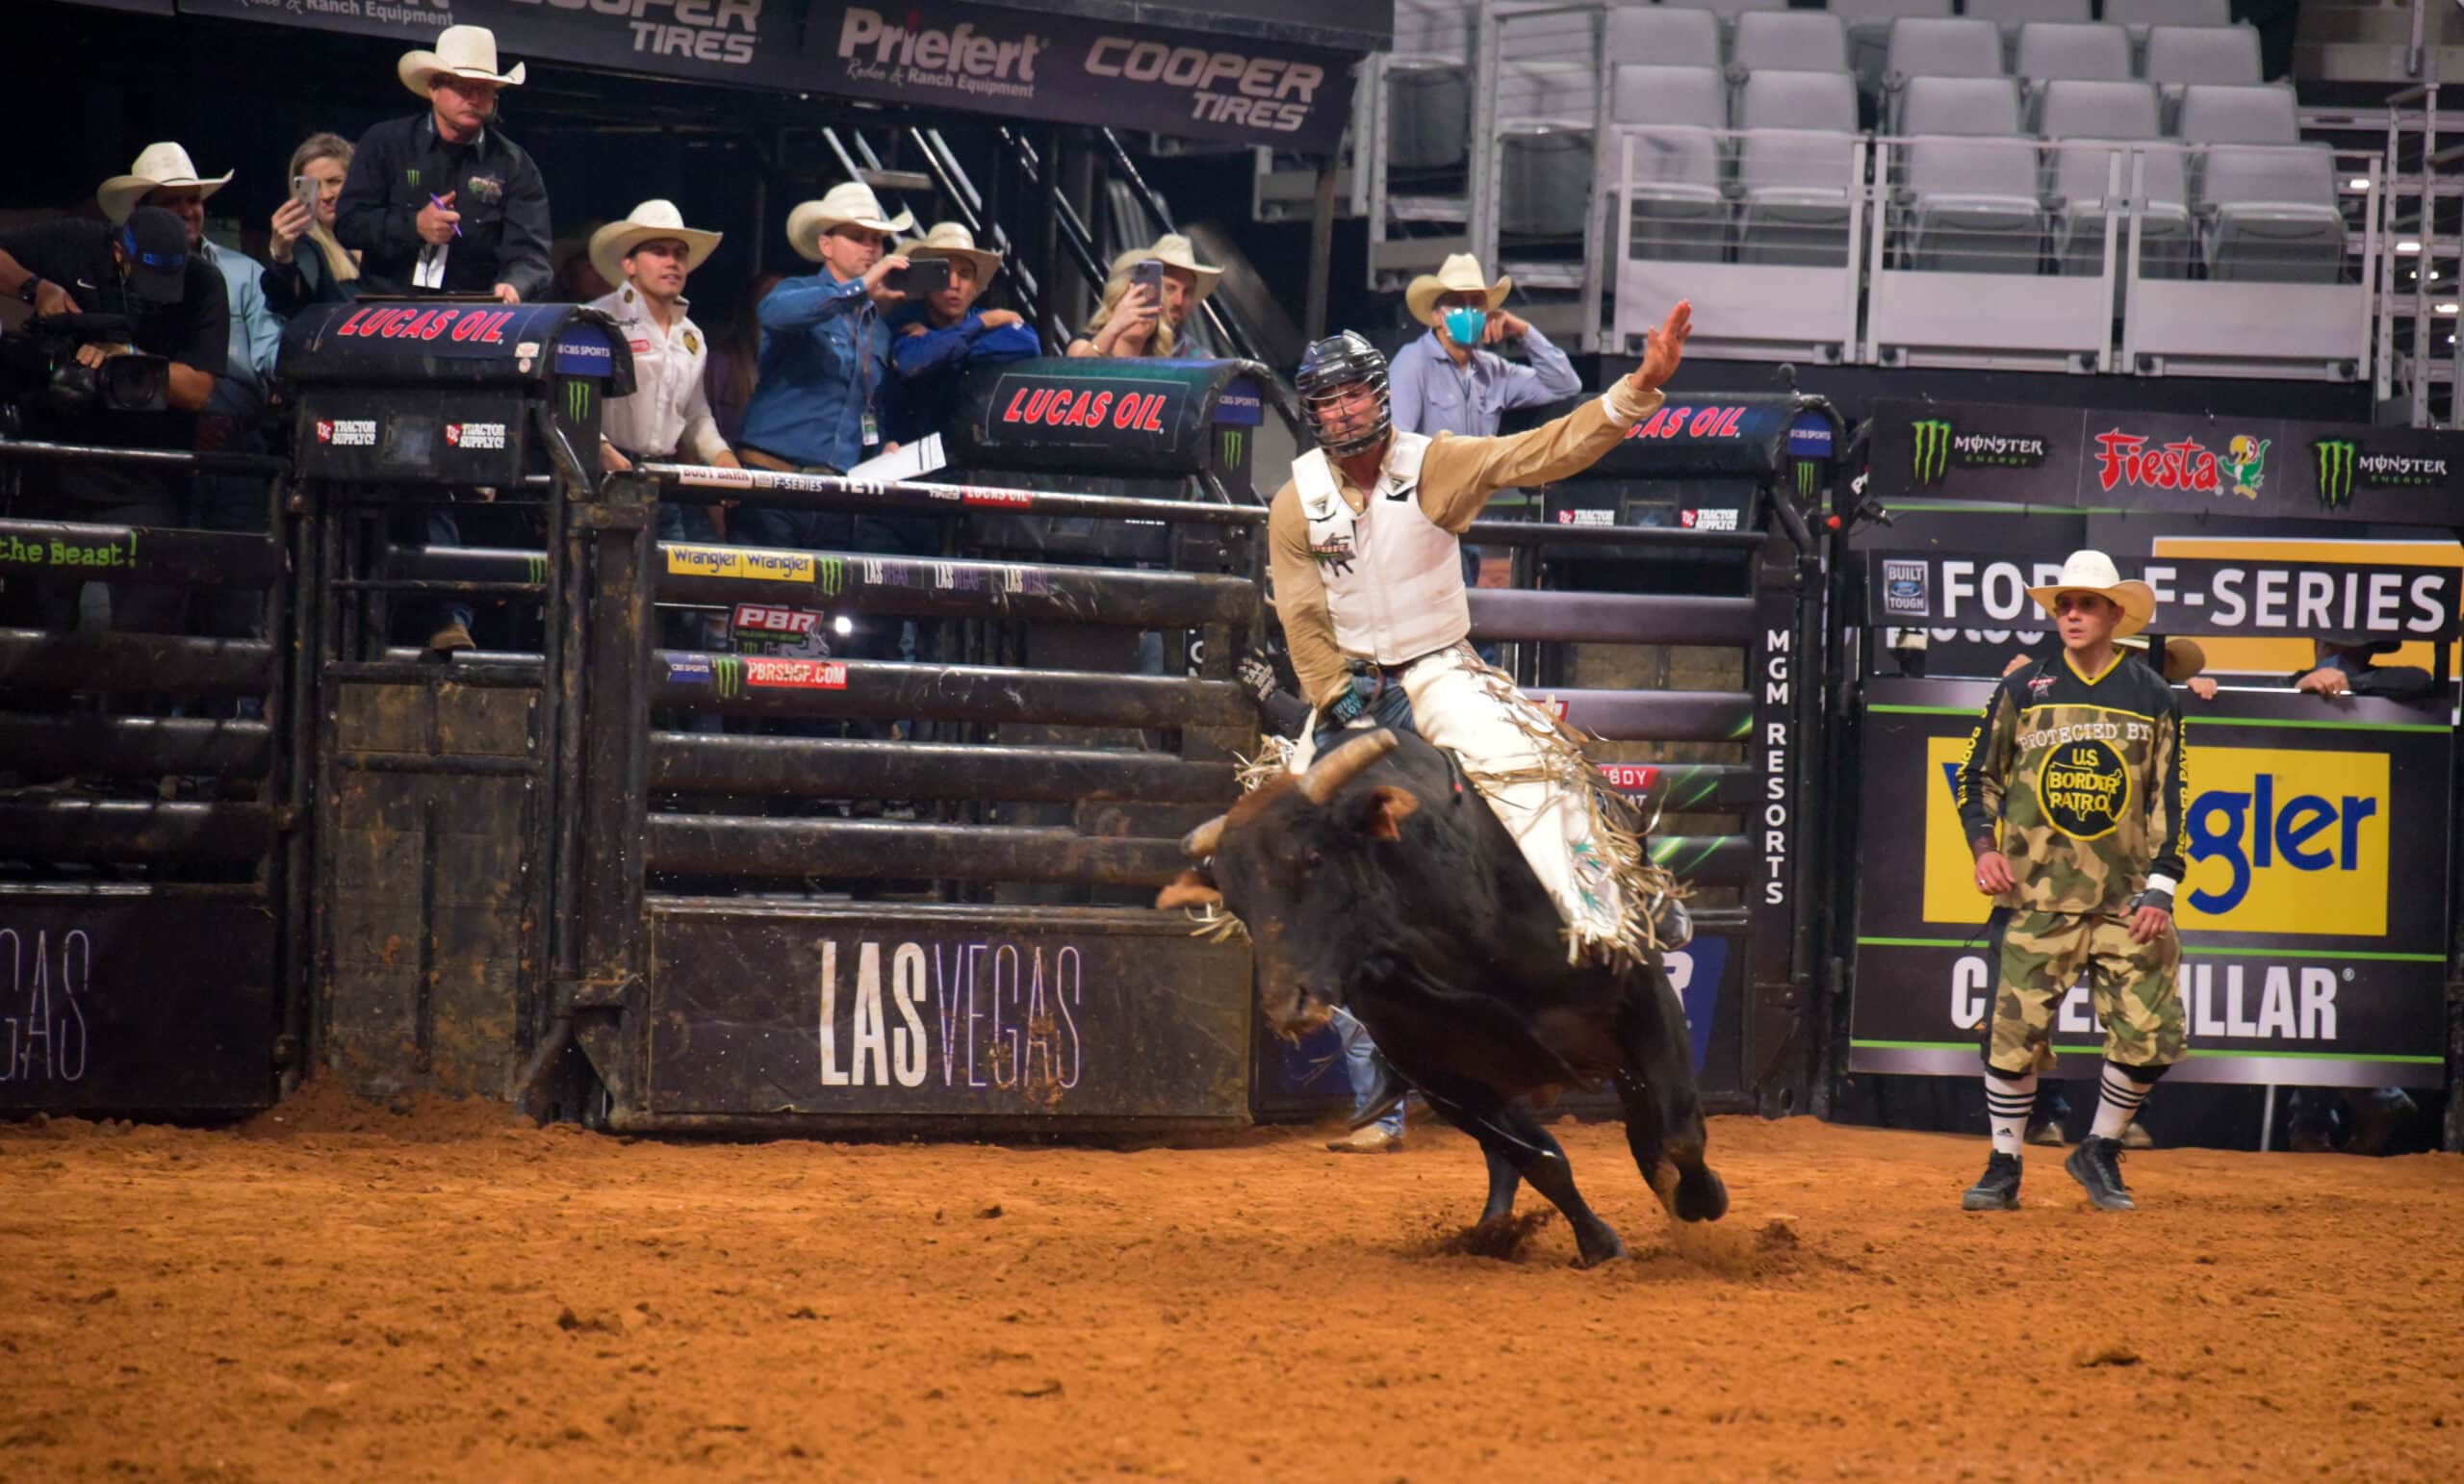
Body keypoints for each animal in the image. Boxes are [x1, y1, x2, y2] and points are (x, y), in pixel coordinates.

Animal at [1163, 729, 1725, 1257]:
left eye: (1313, 857)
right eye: (1236, 901)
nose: (1289, 1006)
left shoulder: (1646, 993)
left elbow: (1679, 1134)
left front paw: (1701, 1198)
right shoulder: (1446, 1082)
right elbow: (1541, 1162)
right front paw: (1598, 1244)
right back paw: (1494, 1230)